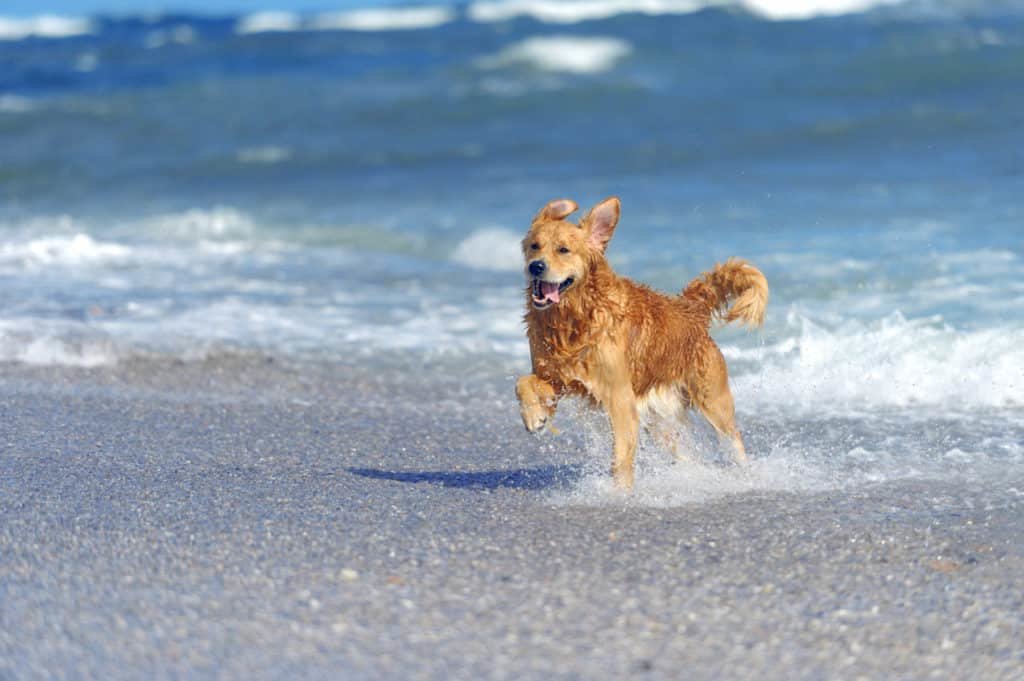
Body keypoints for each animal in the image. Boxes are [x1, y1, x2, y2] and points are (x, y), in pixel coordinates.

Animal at [512, 196, 770, 489]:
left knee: (733, 441)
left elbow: (621, 457)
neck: (574, 318)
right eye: (535, 246)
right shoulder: (557, 378)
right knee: (685, 454)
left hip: (713, 403)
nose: (536, 266)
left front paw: (620, 493)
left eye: (563, 250)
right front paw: (534, 416)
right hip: (660, 420)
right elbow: (523, 382)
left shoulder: (619, 398)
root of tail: (690, 309)